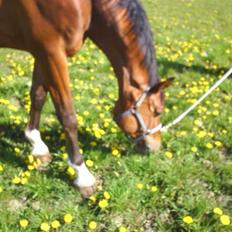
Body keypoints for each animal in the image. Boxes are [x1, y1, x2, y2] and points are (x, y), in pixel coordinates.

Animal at [0, 0, 173, 198]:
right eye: (157, 111)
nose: (156, 146)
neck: (85, 5)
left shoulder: (42, 52)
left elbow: (38, 97)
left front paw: (37, 147)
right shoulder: (52, 52)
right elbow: (68, 116)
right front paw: (82, 175)